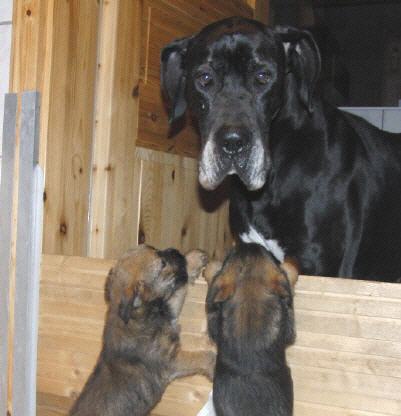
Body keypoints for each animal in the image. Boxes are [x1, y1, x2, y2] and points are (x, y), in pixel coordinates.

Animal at [69, 244, 214, 416]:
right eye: (163, 264)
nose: (175, 250)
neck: (136, 314)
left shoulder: (169, 311)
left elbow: (178, 292)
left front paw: (193, 259)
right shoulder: (170, 360)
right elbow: (203, 356)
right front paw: (216, 367)